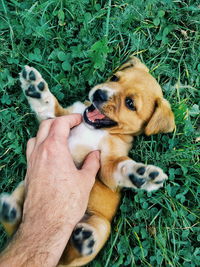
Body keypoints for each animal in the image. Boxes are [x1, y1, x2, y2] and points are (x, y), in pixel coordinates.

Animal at [0, 57, 175, 266]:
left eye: (130, 103)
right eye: (114, 78)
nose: (99, 93)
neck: (95, 128)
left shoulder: (107, 169)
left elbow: (121, 166)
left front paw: (141, 175)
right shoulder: (58, 118)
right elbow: (49, 105)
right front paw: (35, 88)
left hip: (101, 225)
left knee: (71, 255)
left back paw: (81, 241)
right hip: (25, 186)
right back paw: (10, 210)